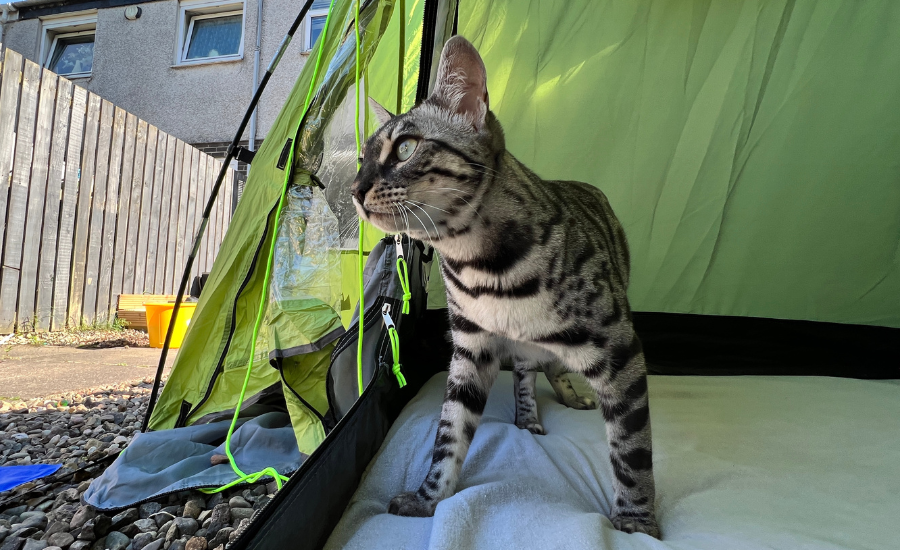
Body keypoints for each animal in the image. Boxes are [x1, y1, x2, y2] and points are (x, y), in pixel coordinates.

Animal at [348, 35, 656, 540]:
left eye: (406, 148)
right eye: (362, 161)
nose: (354, 190)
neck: (479, 267)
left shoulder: (620, 350)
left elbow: (633, 451)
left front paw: (636, 522)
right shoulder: (471, 347)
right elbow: (449, 433)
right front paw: (428, 498)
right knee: (529, 372)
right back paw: (531, 415)